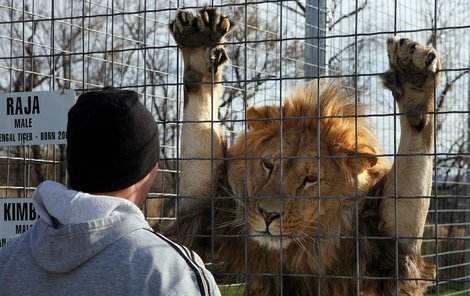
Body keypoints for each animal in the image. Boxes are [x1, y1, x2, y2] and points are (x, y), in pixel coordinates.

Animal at [165, 7, 440, 296]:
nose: (268, 215)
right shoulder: (206, 212)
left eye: (310, 180)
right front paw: (200, 45)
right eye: (268, 166)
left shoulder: (388, 250)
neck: (298, 251)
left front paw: (415, 85)